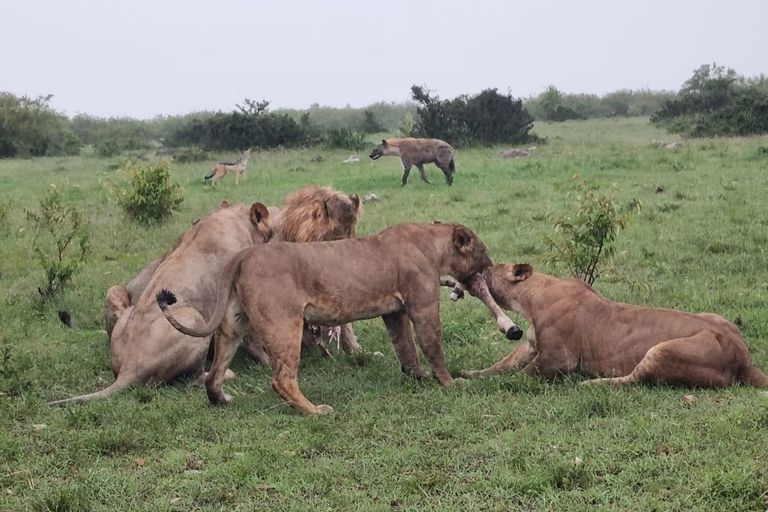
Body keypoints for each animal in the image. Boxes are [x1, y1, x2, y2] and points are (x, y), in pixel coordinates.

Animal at [155, 222, 504, 414]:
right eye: (483, 250)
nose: (491, 266)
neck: (432, 243)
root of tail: (245, 254)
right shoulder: (423, 306)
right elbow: (433, 347)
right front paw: (449, 383)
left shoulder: (395, 312)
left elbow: (404, 347)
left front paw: (416, 376)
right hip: (284, 323)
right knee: (281, 379)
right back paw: (314, 411)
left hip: (233, 324)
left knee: (213, 375)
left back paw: (222, 401)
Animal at [456, 264, 768, 388]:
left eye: (489, 268)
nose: (471, 276)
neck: (529, 301)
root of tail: (744, 358)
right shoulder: (531, 345)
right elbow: (499, 366)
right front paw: (470, 374)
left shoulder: (559, 359)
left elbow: (516, 376)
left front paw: (469, 384)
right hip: (715, 317)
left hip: (663, 350)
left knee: (635, 379)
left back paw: (590, 384)